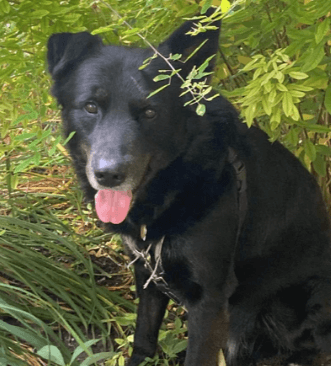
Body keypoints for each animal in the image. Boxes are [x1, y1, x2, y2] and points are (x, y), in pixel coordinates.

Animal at [46, 12, 331, 366]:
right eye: (90, 107)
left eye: (150, 112)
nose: (109, 175)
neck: (176, 186)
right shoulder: (147, 277)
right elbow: (143, 339)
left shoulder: (209, 301)